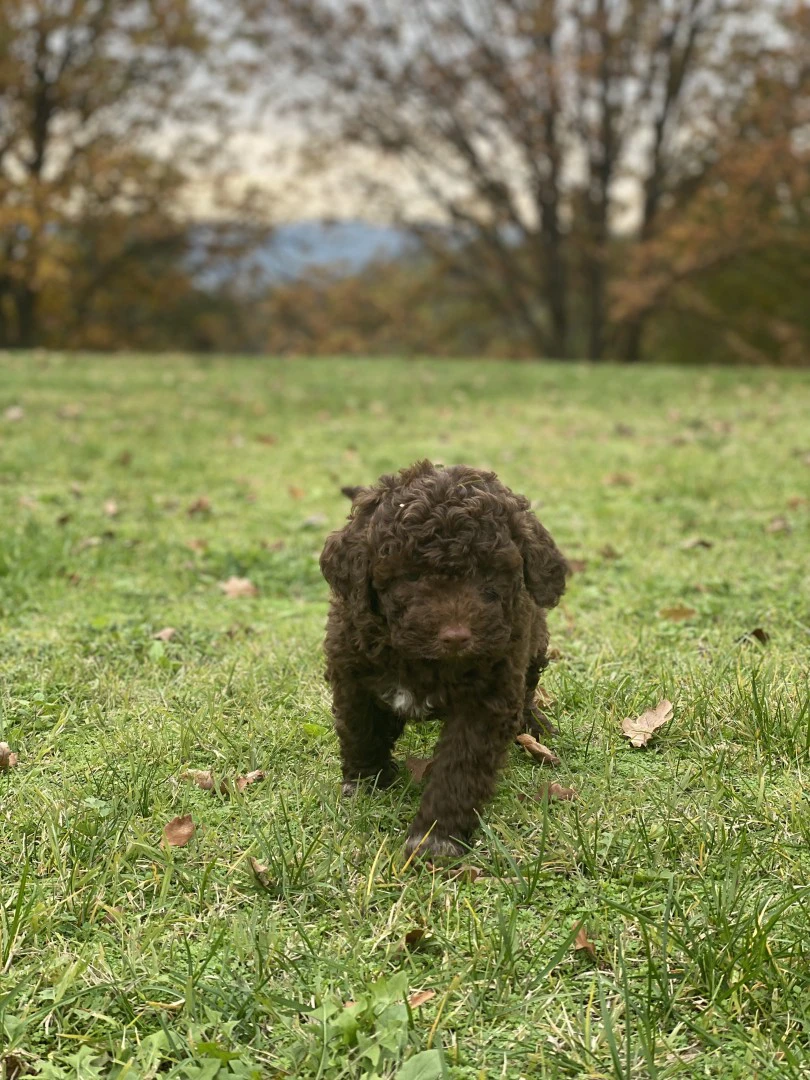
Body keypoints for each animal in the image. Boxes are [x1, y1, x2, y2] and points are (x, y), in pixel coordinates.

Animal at [319, 460, 570, 855]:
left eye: (489, 572)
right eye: (410, 575)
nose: (456, 636)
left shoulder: (488, 697)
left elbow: (460, 767)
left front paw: (436, 837)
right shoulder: (352, 671)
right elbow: (361, 729)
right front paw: (365, 782)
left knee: (529, 689)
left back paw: (534, 725)